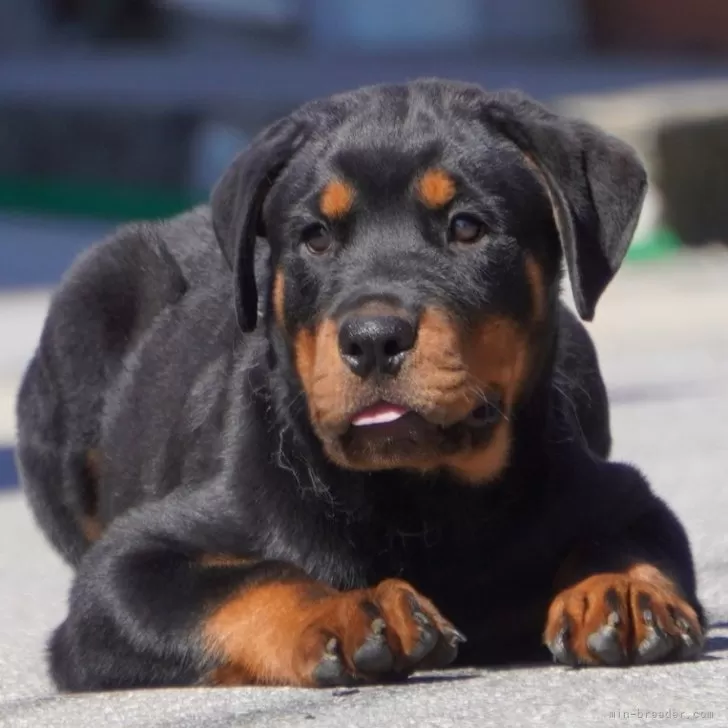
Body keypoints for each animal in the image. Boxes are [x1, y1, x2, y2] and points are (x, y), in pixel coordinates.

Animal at [15, 81, 704, 692]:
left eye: (467, 227)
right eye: (316, 236)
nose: (373, 338)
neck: (419, 501)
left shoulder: (621, 493)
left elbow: (626, 537)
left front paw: (623, 591)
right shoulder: (124, 572)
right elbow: (246, 580)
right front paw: (346, 611)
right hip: (83, 317)